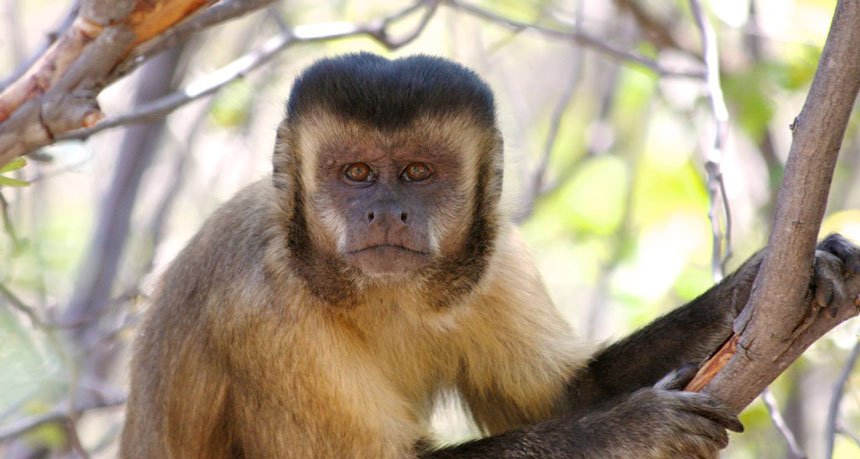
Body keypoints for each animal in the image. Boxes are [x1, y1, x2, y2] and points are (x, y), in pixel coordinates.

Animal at [119, 53, 860, 458]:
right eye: (355, 173)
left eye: (418, 173)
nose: (384, 211)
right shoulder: (260, 310)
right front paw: (626, 432)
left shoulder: (498, 261)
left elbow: (563, 395)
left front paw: (760, 283)